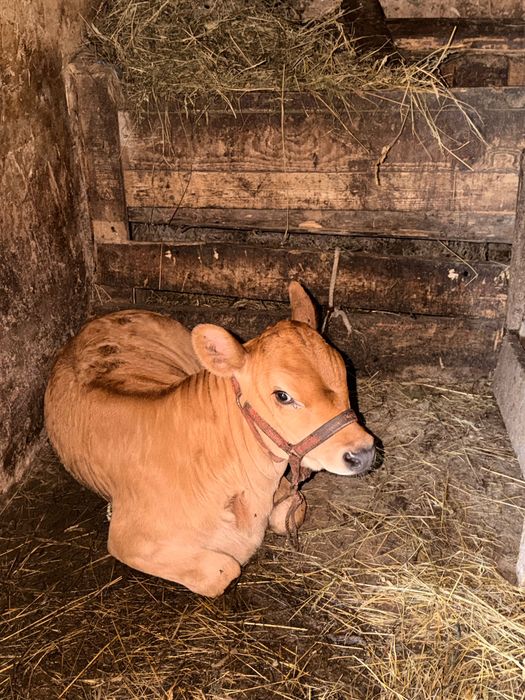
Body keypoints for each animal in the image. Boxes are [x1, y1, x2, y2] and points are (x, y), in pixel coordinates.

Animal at [44, 282, 375, 596]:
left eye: (344, 370)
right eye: (282, 395)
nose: (363, 452)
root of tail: (102, 317)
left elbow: (289, 513)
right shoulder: (128, 539)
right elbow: (223, 570)